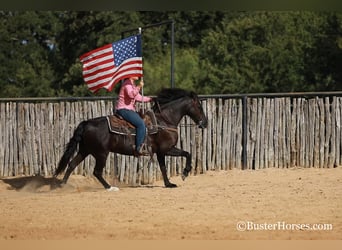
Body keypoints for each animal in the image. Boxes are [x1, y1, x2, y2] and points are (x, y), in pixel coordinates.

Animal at [54, 88, 206, 189]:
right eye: (199, 106)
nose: (205, 123)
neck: (164, 120)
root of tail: (87, 123)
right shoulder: (167, 149)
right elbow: (187, 153)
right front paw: (185, 173)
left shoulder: (160, 152)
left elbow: (163, 167)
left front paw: (169, 184)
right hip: (101, 153)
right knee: (96, 171)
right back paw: (110, 187)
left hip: (85, 150)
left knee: (72, 164)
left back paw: (62, 186)